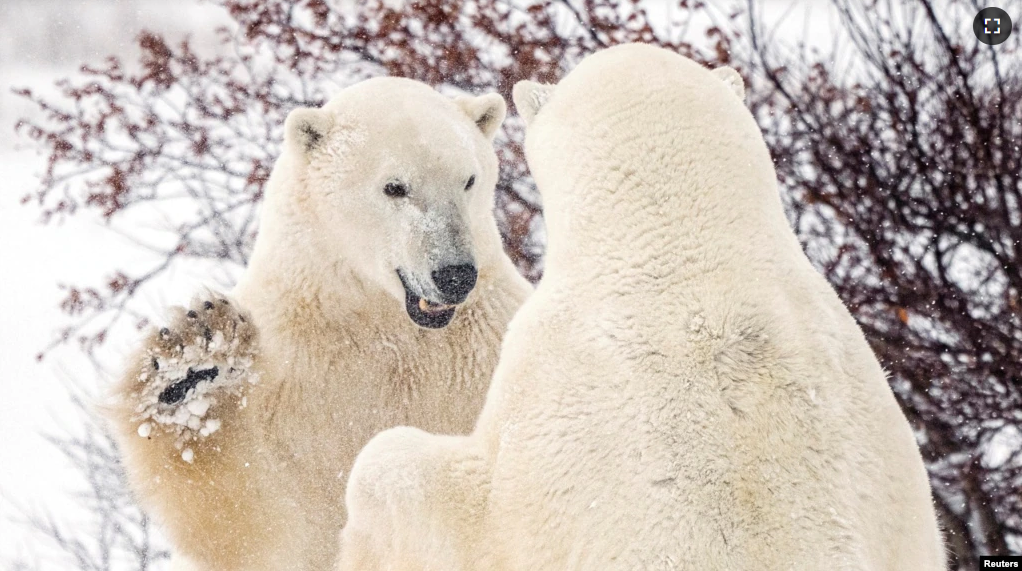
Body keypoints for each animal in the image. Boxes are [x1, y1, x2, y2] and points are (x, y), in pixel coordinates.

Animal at [106, 77, 531, 571]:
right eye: (394, 187)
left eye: (468, 179)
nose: (455, 274)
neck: (387, 327)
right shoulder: (289, 375)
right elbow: (258, 522)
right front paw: (189, 368)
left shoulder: (491, 346)